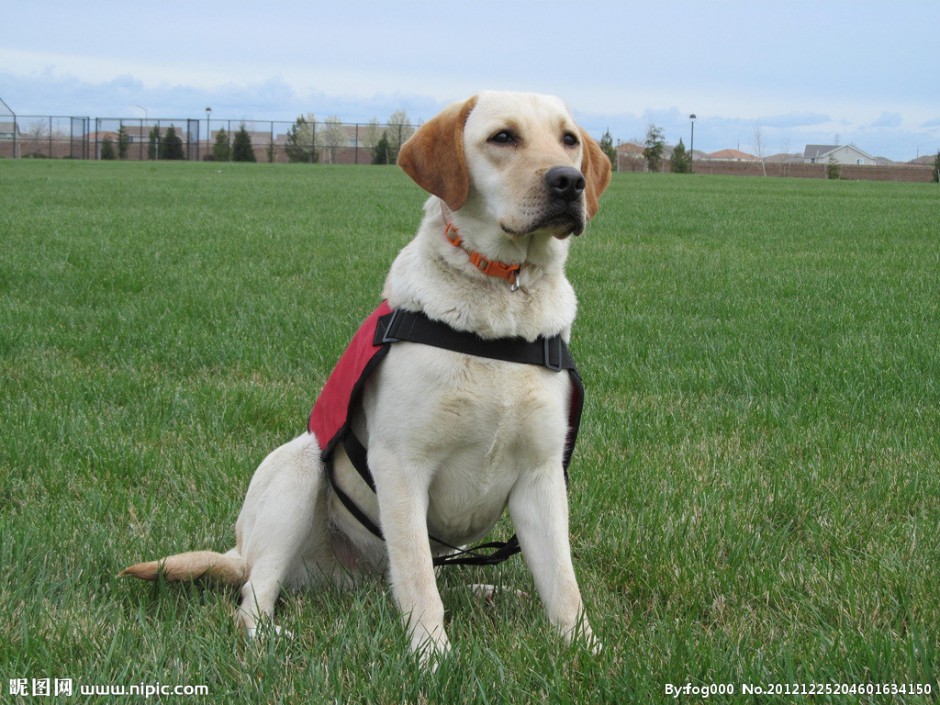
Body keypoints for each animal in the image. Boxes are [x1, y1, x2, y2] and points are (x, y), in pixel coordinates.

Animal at [121, 91, 612, 664]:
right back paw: (273, 637)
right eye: (503, 137)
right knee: (253, 598)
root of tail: (239, 550)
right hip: (301, 465)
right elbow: (419, 579)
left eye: (568, 140)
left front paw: (587, 651)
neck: (501, 305)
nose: (568, 182)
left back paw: (485, 590)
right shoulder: (401, 465)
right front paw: (432, 657)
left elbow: (562, 583)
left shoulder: (542, 474)